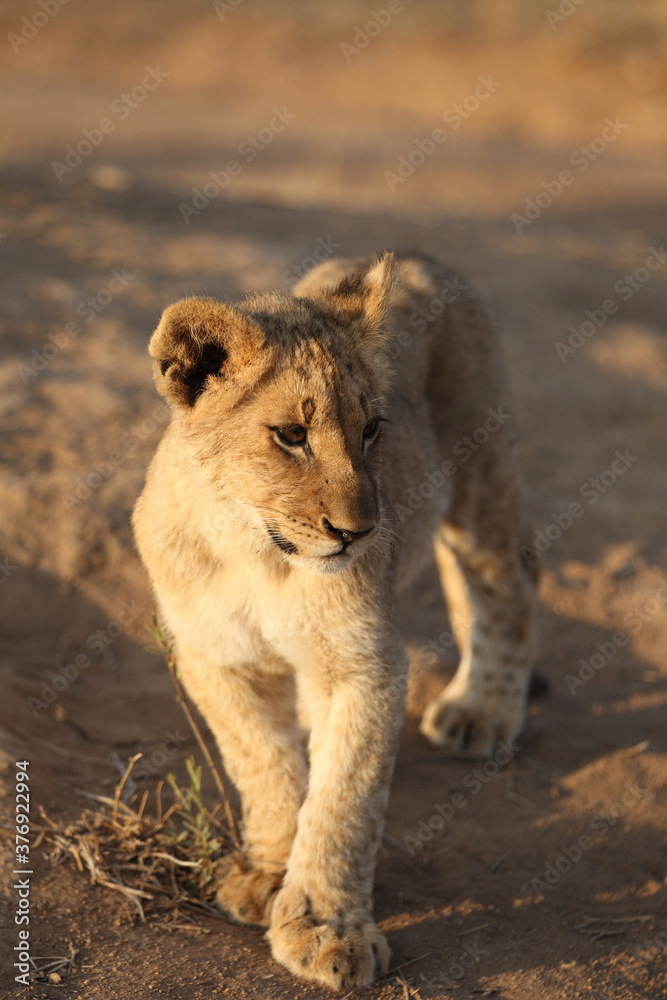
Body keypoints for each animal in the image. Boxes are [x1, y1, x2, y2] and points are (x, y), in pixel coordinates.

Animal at [132, 251, 536, 991]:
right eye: (291, 436)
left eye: (372, 429)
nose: (361, 532)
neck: (255, 551)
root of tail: (421, 254)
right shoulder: (213, 655)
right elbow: (261, 761)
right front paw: (269, 871)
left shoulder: (365, 667)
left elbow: (344, 802)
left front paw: (326, 929)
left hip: (482, 476)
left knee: (506, 588)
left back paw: (482, 711)